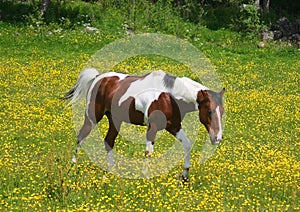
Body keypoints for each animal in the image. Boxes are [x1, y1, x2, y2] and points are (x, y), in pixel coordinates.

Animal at [62, 68, 223, 180]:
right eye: (209, 111)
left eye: (222, 112)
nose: (217, 138)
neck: (168, 95)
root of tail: (97, 78)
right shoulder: (153, 127)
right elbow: (149, 152)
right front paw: (146, 178)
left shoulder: (174, 126)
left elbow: (187, 144)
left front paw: (184, 176)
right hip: (92, 116)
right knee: (81, 136)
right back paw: (73, 164)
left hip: (115, 120)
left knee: (109, 141)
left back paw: (110, 171)